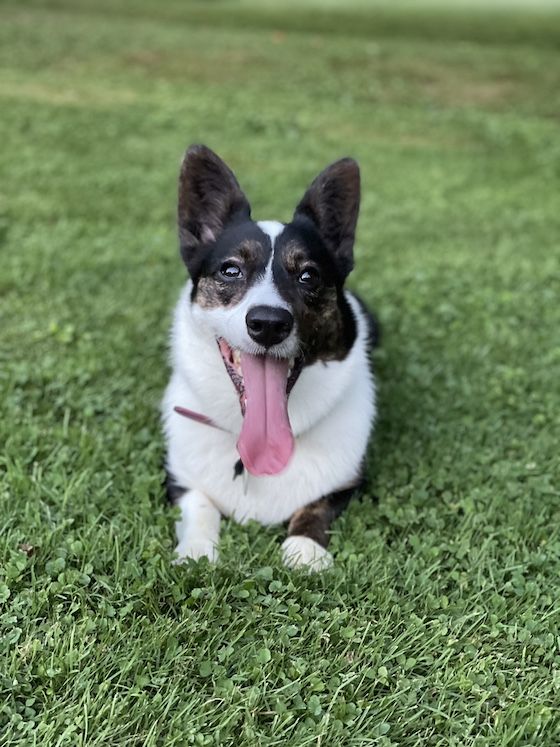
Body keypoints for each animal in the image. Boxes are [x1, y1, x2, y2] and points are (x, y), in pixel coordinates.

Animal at [163, 143, 380, 568]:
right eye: (231, 270)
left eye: (309, 276)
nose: (268, 324)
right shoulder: (178, 480)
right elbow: (200, 504)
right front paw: (196, 550)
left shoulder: (346, 483)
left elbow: (316, 507)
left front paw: (306, 549)